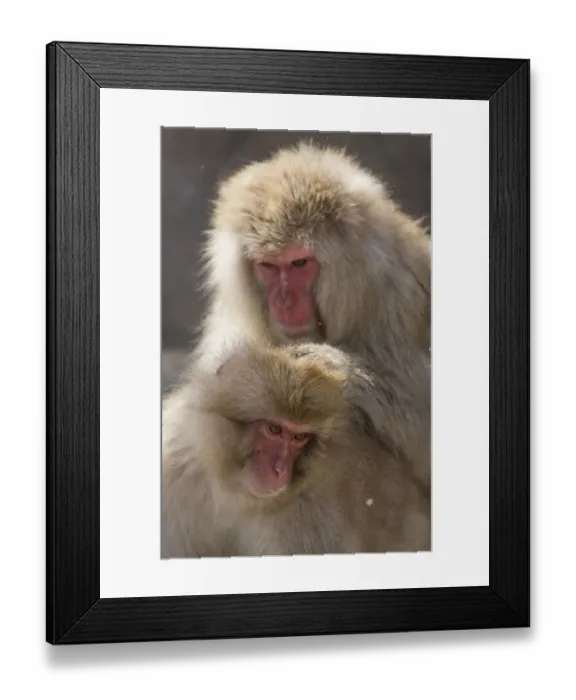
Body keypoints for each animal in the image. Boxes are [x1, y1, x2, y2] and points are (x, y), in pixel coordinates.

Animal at [161, 341, 430, 558]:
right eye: (274, 429)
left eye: (300, 437)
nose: (280, 470)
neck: (236, 493)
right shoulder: (175, 468)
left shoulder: (309, 519)